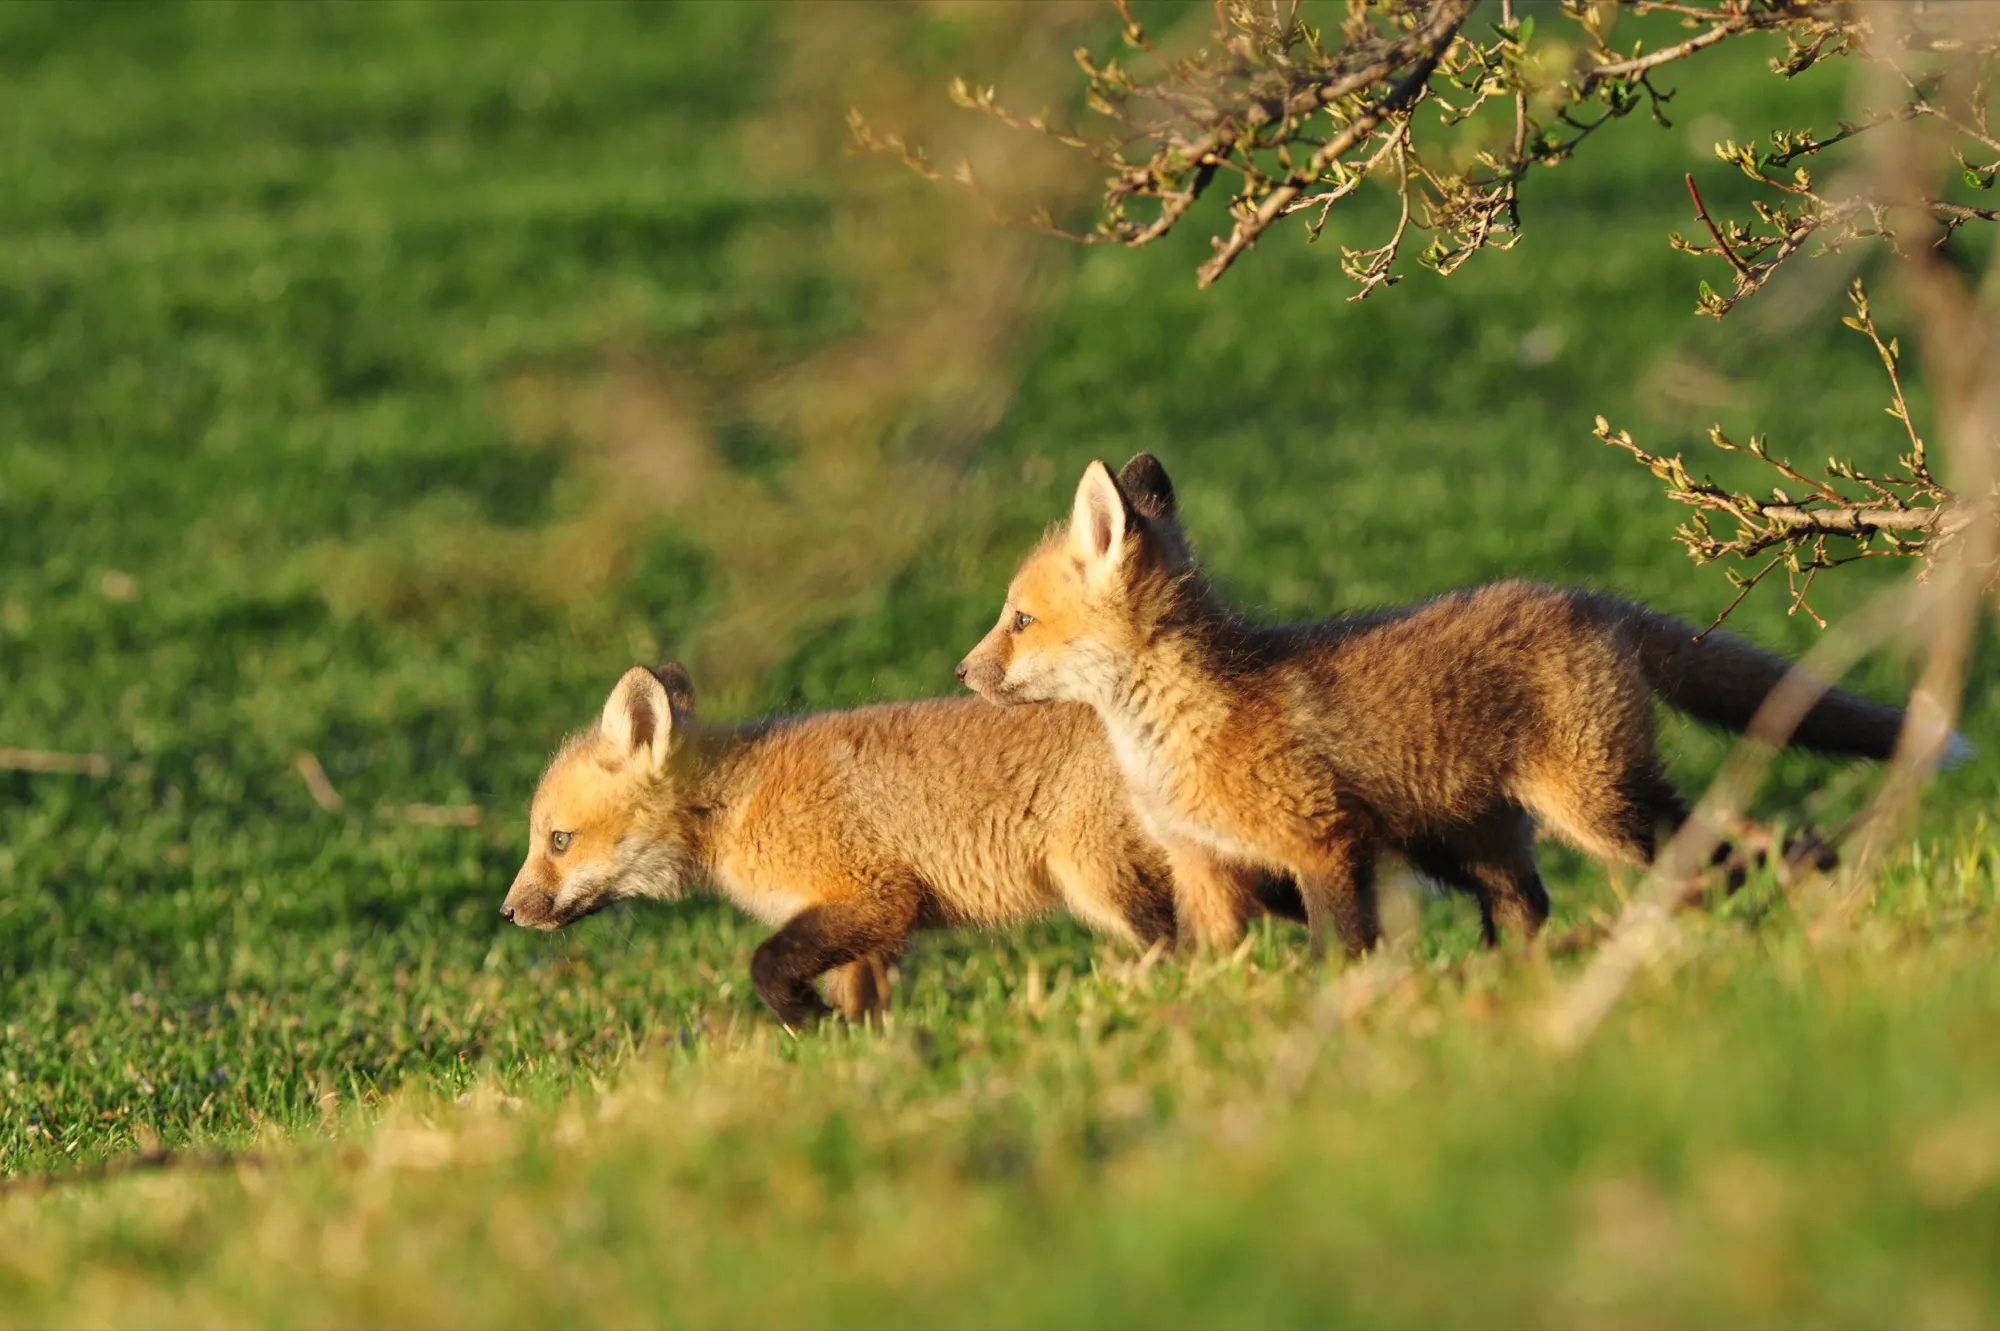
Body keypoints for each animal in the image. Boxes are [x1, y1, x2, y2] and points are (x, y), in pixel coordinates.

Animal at [500, 661, 1302, 1026]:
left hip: (1099, 882)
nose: (508, 913)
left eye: (558, 840)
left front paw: (807, 1021)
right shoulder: (872, 927)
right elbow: (862, 997)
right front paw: (855, 1043)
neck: (737, 809)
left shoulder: (873, 896)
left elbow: (767, 964)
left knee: (1186, 941)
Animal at [957, 452, 1961, 956]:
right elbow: (1216, 967)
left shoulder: (1322, 843)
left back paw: (1782, 886)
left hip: (1601, 809)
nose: (963, 671)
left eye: (1019, 619)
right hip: (1466, 838)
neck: (1179, 732)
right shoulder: (1207, 867)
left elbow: (1339, 952)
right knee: (1528, 907)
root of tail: (1588, 597)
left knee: (1735, 844)